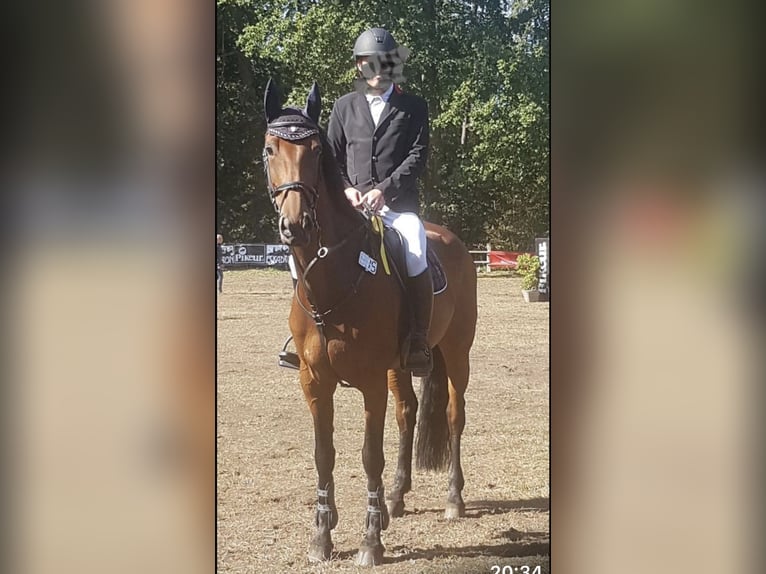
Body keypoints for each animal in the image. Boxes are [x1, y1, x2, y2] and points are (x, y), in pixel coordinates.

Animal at [262, 79, 477, 566]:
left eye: (315, 150)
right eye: (269, 149)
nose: (296, 225)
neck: (333, 277)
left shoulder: (370, 382)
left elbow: (369, 456)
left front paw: (370, 541)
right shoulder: (314, 381)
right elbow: (324, 454)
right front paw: (322, 535)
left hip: (456, 352)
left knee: (455, 415)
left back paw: (453, 499)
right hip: (401, 365)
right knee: (408, 413)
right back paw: (396, 498)